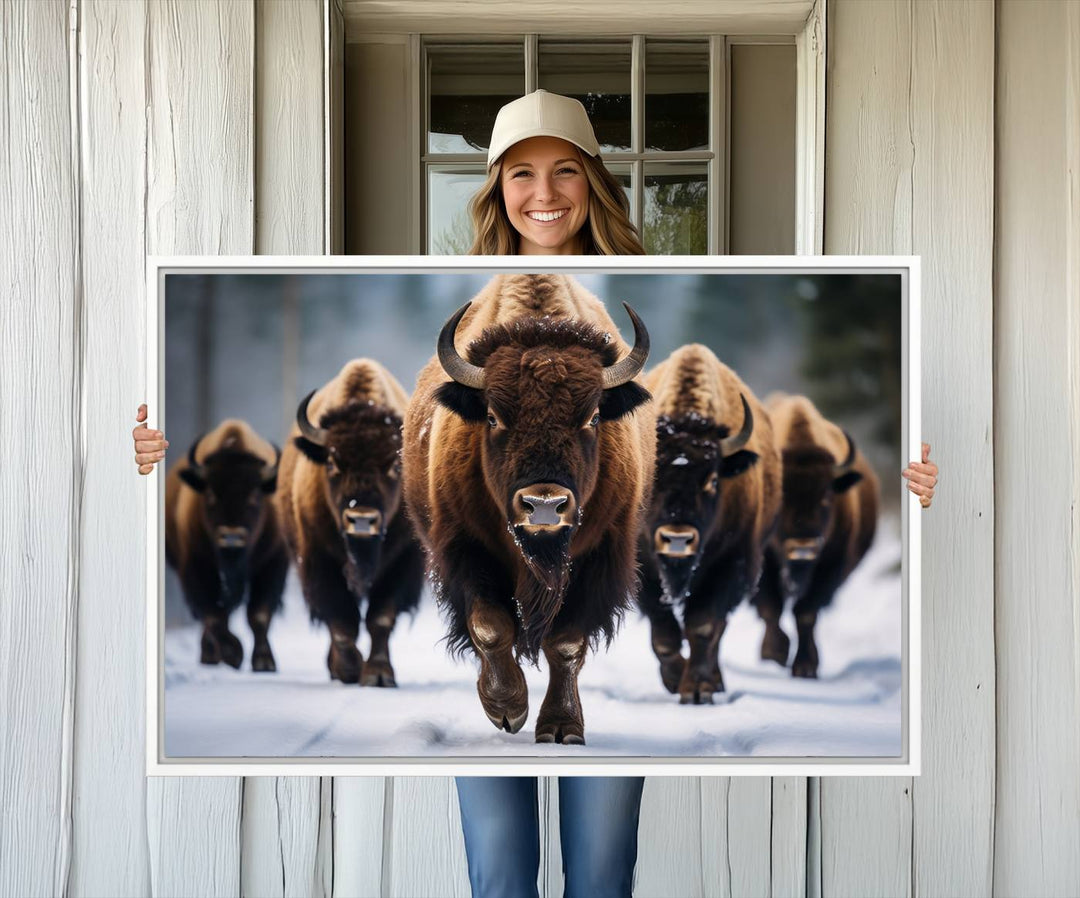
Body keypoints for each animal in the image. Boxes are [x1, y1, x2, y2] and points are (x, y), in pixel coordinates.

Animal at [164, 419, 287, 665]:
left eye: (254, 495)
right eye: (211, 494)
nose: (231, 537)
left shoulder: (272, 562)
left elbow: (259, 615)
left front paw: (264, 662)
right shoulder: (196, 567)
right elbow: (213, 615)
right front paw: (233, 653)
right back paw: (210, 655)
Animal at [276, 360, 423, 682]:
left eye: (395, 465)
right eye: (332, 462)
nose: (362, 519)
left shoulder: (402, 561)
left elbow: (380, 618)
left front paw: (378, 674)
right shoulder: (319, 560)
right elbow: (342, 621)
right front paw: (349, 669)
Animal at [403, 274, 648, 743]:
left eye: (592, 417)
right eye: (494, 417)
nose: (545, 505)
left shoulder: (598, 557)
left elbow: (566, 643)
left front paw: (562, 727)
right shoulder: (466, 549)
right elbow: (489, 626)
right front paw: (507, 708)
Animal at [635, 343, 781, 700]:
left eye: (713, 480)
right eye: (654, 475)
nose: (677, 539)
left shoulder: (729, 564)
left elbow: (703, 626)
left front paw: (698, 689)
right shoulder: (646, 568)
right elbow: (664, 633)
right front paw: (675, 679)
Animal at [756, 389, 881, 678]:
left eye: (826, 496)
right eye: (782, 497)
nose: (804, 546)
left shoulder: (828, 567)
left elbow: (805, 614)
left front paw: (805, 667)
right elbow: (771, 608)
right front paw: (774, 653)